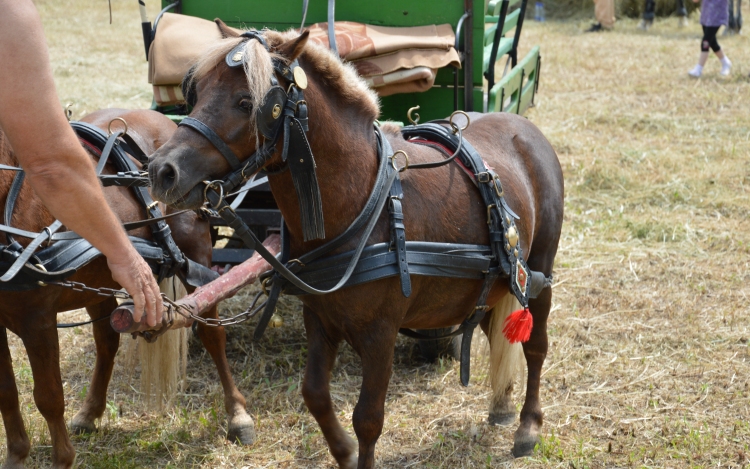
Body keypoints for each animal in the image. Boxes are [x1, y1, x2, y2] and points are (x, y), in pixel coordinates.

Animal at [0, 109, 254, 468]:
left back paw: (237, 414)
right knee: (107, 343)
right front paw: (17, 456)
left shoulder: (38, 321)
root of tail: (167, 122)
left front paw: (62, 459)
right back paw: (90, 413)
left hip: (195, 255)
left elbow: (48, 397)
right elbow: (7, 393)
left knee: (212, 333)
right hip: (100, 281)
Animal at [150, 26, 564, 468]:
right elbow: (314, 393)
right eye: (195, 93)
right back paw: (501, 405)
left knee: (536, 346)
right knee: (492, 325)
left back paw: (528, 425)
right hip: (488, 284)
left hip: (540, 271)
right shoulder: (319, 317)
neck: (360, 203)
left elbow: (368, 418)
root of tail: (523, 126)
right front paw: (344, 452)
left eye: (247, 102)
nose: (162, 170)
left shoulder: (380, 332)